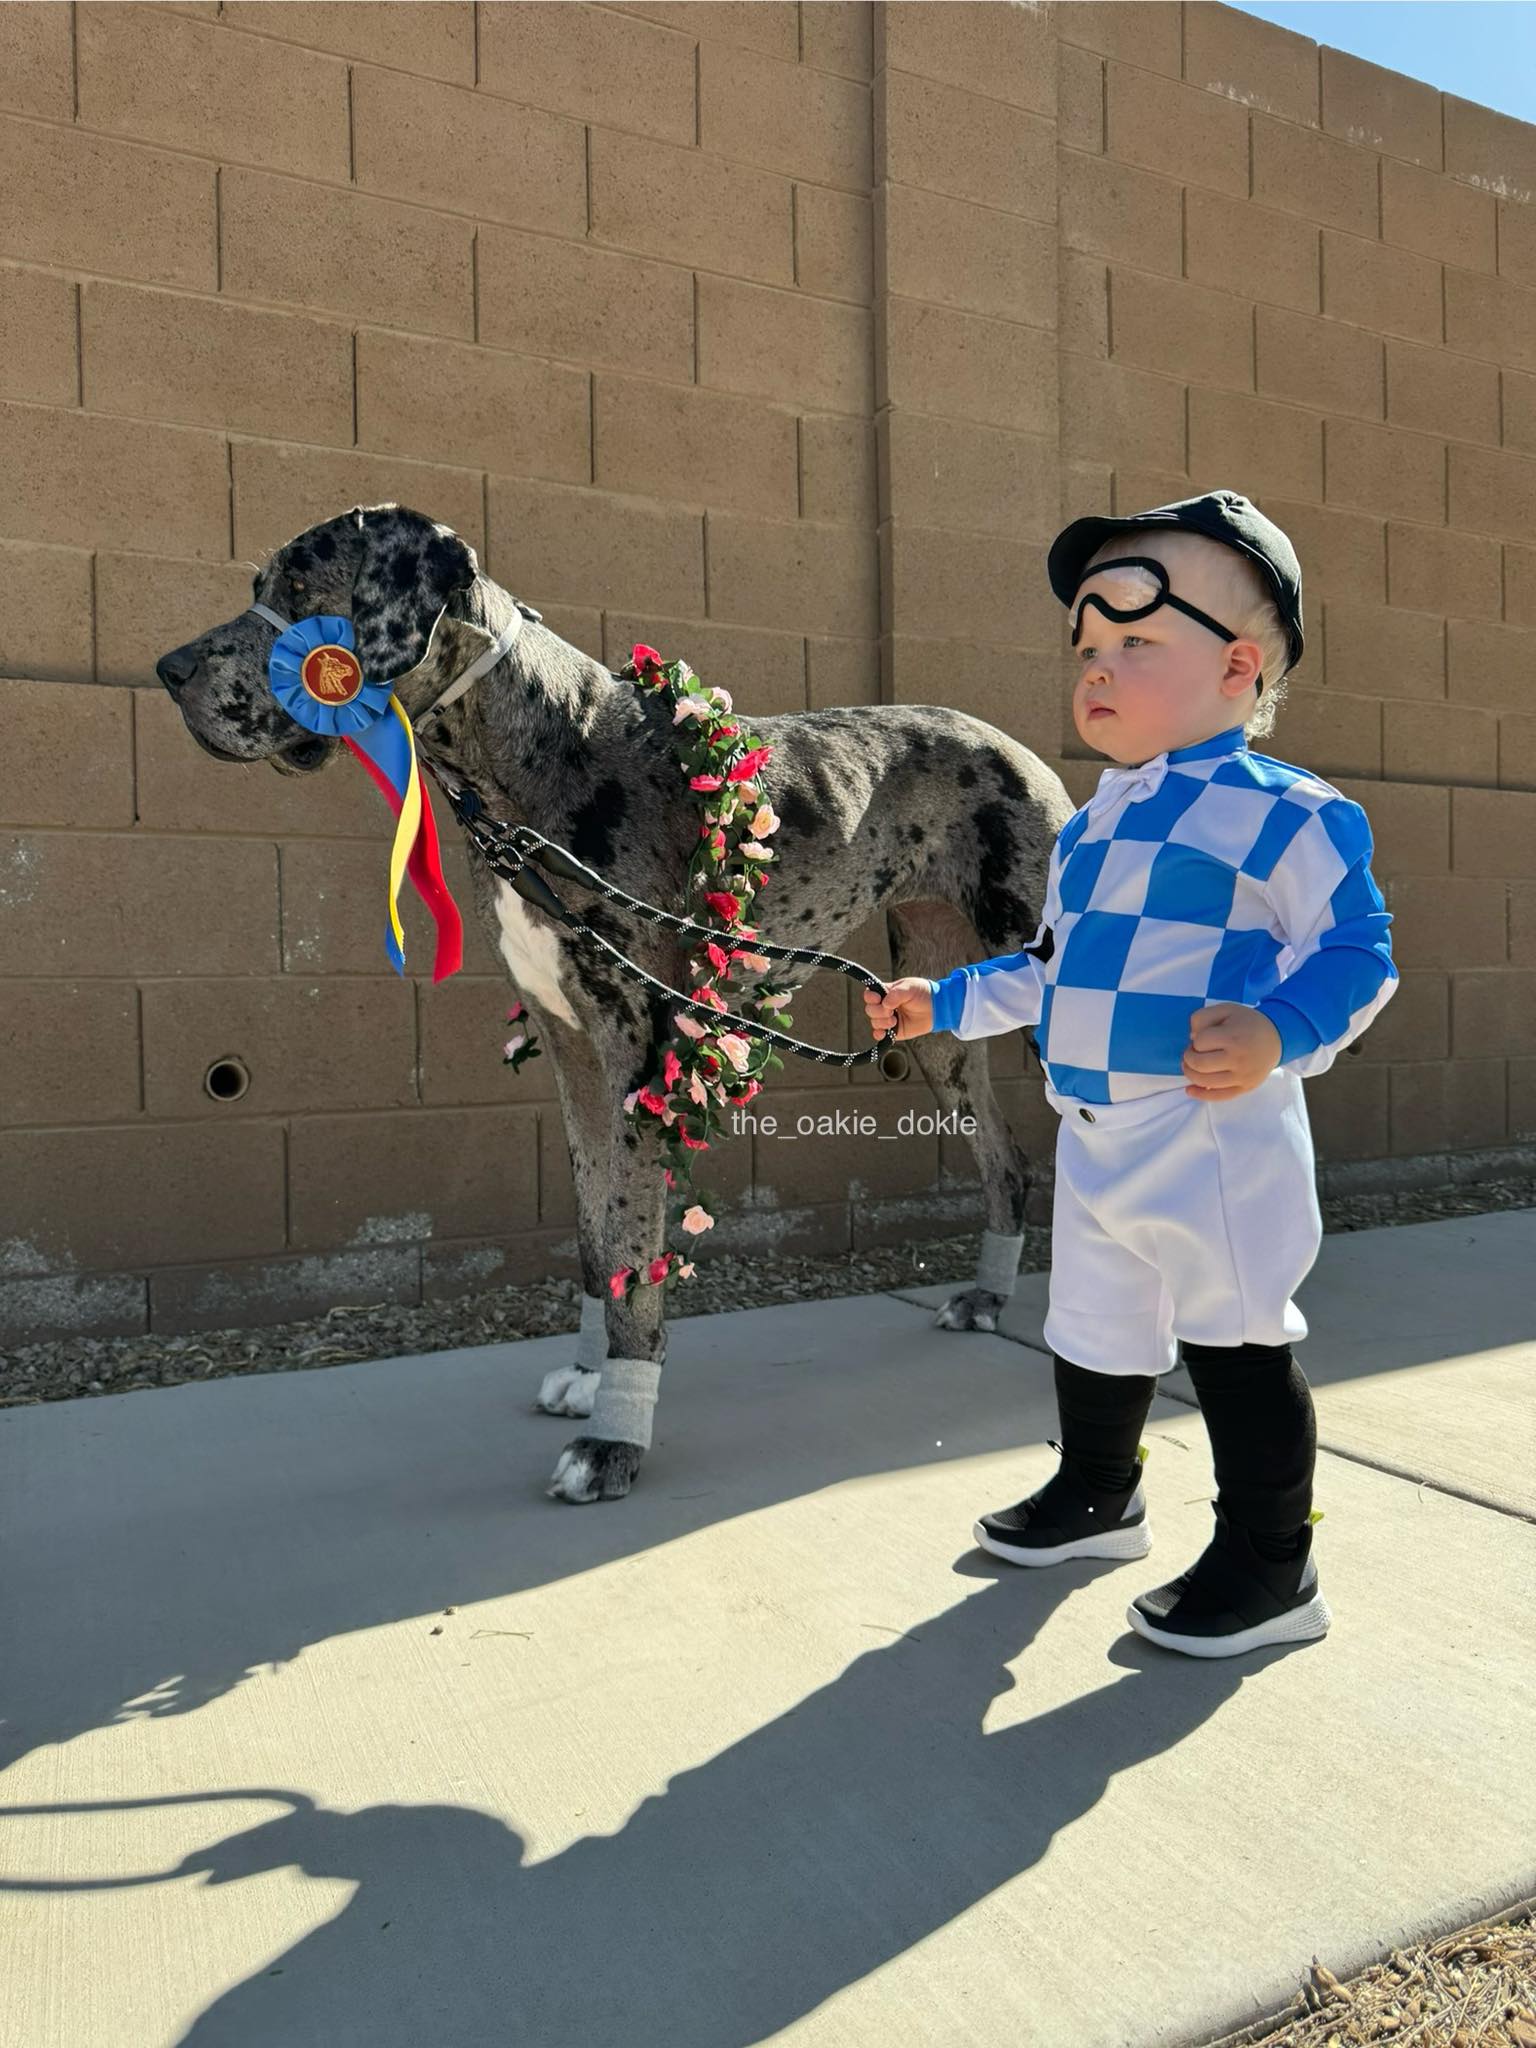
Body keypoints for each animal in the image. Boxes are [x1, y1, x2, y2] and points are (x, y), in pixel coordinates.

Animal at [153, 501, 1073, 1507]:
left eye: (295, 588)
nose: (168, 671)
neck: (529, 758)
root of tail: (1022, 749)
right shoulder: (571, 1051)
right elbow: (596, 1233)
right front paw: (592, 1376)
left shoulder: (642, 1048)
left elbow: (635, 1249)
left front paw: (616, 1438)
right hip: (938, 1018)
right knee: (1007, 1161)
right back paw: (989, 1295)